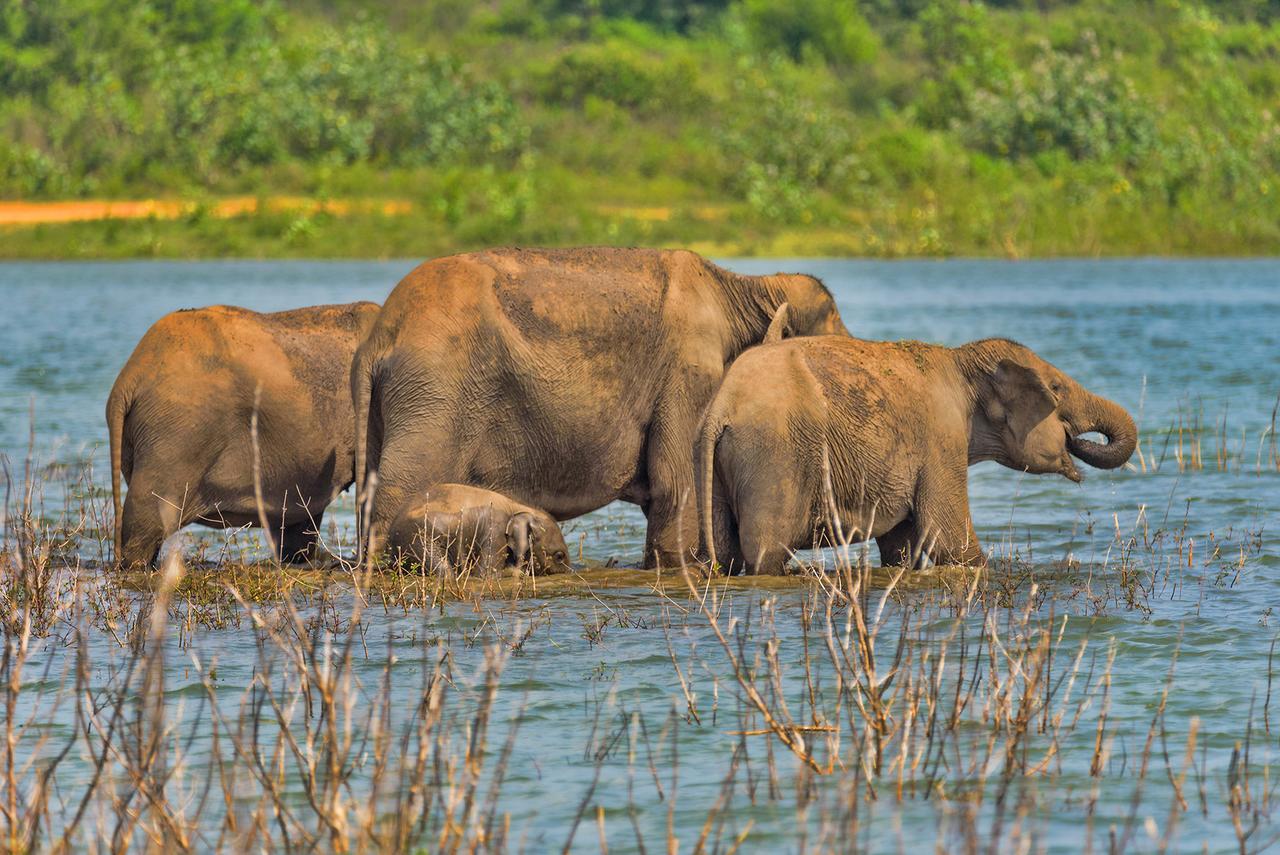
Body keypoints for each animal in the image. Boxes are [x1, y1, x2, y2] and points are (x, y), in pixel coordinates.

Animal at [384, 483, 576, 578]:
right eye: (559, 557)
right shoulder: (496, 530)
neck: (519, 506)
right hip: (416, 538)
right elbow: (485, 574)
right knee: (443, 571)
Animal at [701, 332, 1141, 573]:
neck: (962, 361)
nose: (1077, 440)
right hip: (773, 455)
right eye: (1057, 389)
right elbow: (949, 539)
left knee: (726, 553)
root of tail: (721, 407)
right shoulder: (940, 437)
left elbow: (902, 546)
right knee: (766, 552)